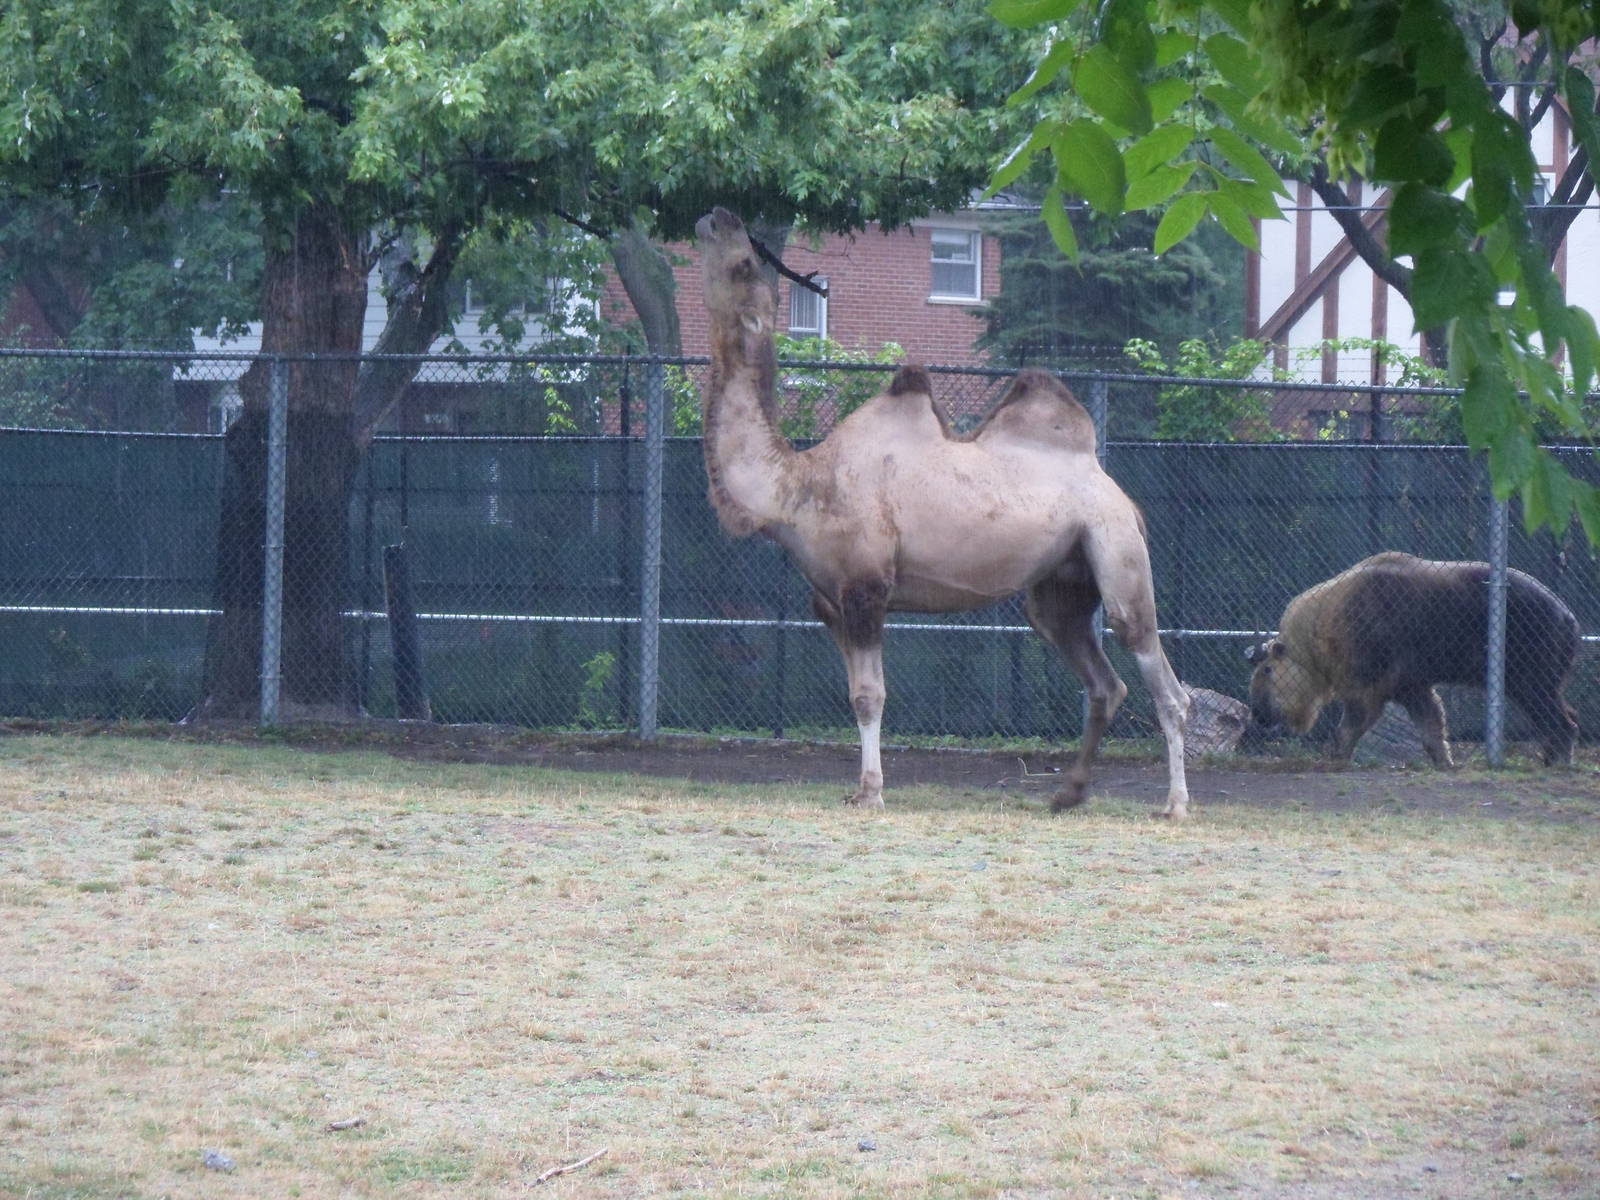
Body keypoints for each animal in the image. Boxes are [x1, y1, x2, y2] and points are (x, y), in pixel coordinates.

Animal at [694, 207, 1192, 818]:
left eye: (745, 263)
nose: (718, 216)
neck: (797, 488)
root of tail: (1118, 492)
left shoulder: (867, 589)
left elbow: (870, 696)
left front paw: (872, 792)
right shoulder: (831, 602)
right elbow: (853, 693)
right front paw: (860, 787)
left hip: (1116, 546)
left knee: (1161, 675)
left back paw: (1175, 804)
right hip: (1061, 583)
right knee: (1101, 677)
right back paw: (1068, 793)